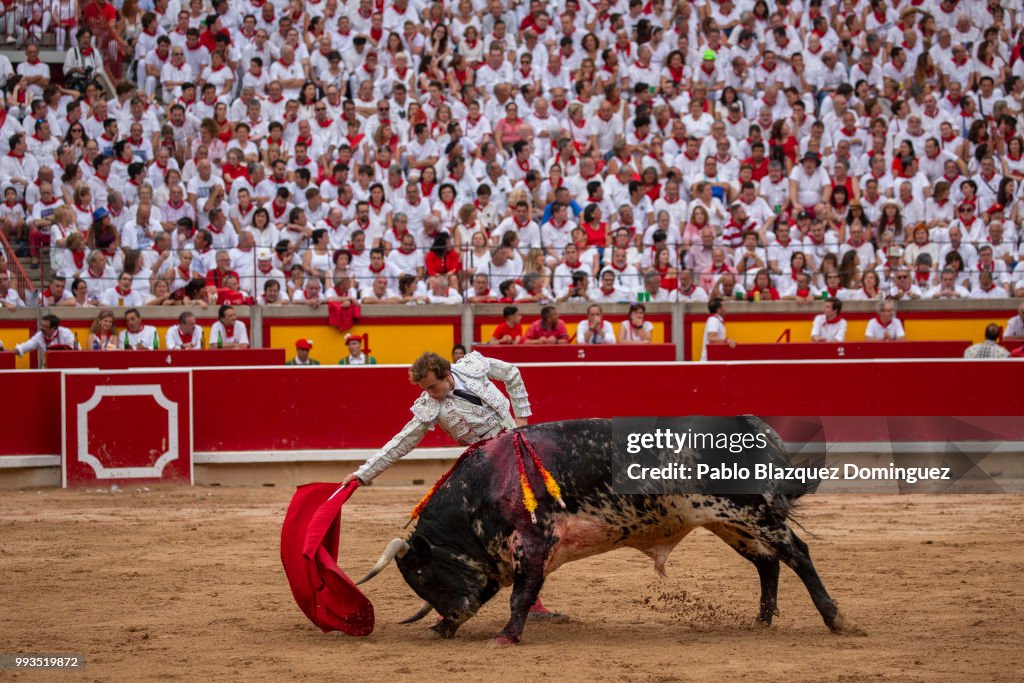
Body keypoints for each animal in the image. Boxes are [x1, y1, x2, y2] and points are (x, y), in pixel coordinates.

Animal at [356, 417, 851, 647]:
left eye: (423, 574)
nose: (451, 617)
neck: (484, 486)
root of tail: (753, 427)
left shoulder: (533, 543)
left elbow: (520, 596)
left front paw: (506, 636)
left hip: (753, 512)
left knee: (797, 553)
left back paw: (835, 618)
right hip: (729, 521)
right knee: (768, 562)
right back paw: (762, 619)